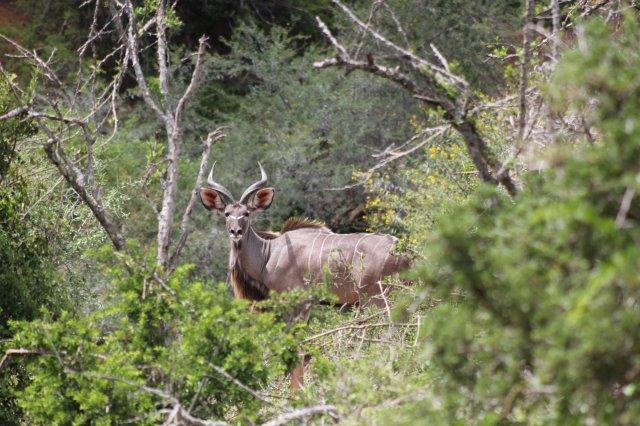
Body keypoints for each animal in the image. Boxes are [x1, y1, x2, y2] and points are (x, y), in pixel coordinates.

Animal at [199, 165, 410, 388]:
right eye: (227, 213)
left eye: (246, 213)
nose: (235, 231)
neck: (268, 253)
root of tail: (404, 252)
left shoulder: (297, 302)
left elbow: (297, 348)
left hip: (377, 300)